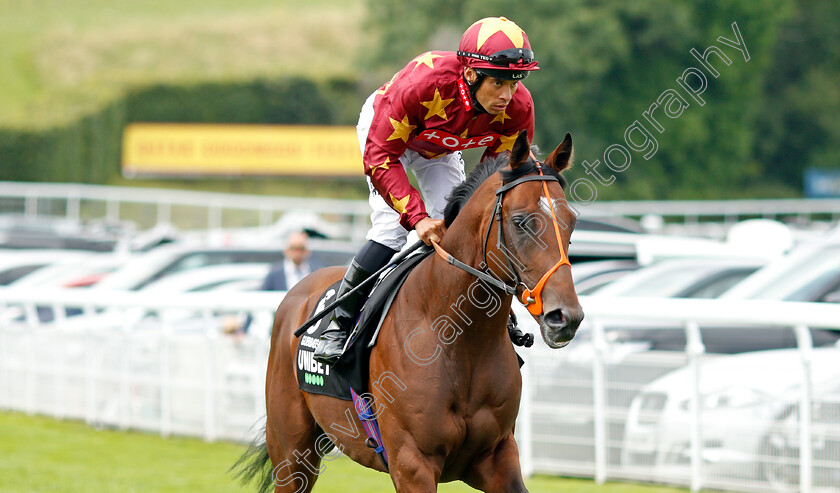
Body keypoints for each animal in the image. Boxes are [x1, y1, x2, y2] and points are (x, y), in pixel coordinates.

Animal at [233, 131, 580, 492]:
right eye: (520, 222)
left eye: (571, 222)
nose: (565, 317)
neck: (459, 339)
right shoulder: (412, 463)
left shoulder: (497, 457)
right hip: (292, 454)